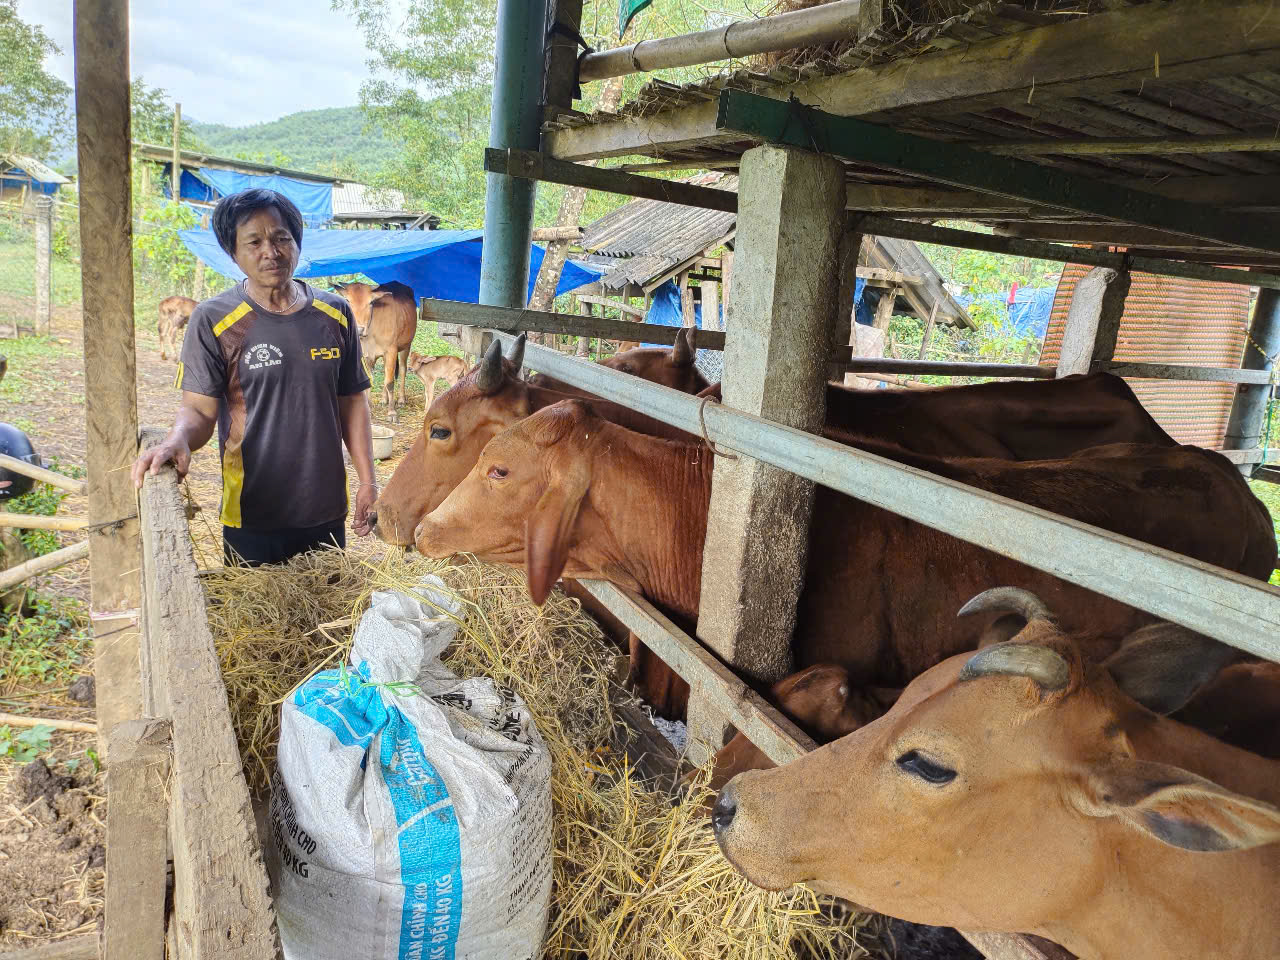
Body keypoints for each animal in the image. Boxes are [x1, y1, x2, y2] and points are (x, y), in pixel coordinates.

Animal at [332, 281, 417, 424]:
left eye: (371, 302)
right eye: (347, 300)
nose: (359, 329)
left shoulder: (391, 350)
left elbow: (390, 383)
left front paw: (392, 413)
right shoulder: (364, 354)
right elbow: (369, 381)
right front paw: (369, 409)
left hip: (406, 346)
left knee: (402, 370)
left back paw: (400, 400)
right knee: (386, 373)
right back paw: (383, 399)